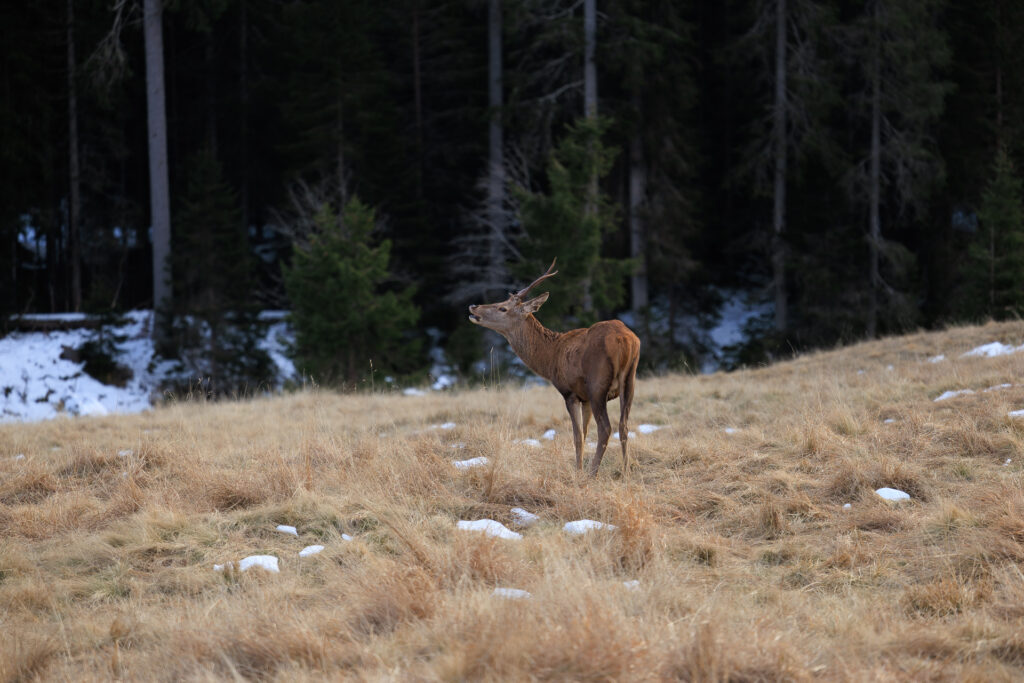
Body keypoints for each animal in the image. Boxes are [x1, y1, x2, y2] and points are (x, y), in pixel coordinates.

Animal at [466, 259, 638, 479]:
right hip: (630, 381)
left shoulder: (570, 392)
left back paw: (593, 473)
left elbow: (577, 436)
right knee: (624, 425)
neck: (550, 358)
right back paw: (626, 471)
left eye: (502, 308)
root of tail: (625, 340)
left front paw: (578, 471)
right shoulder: (585, 398)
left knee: (606, 428)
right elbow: (585, 432)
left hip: (598, 384)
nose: (474, 306)